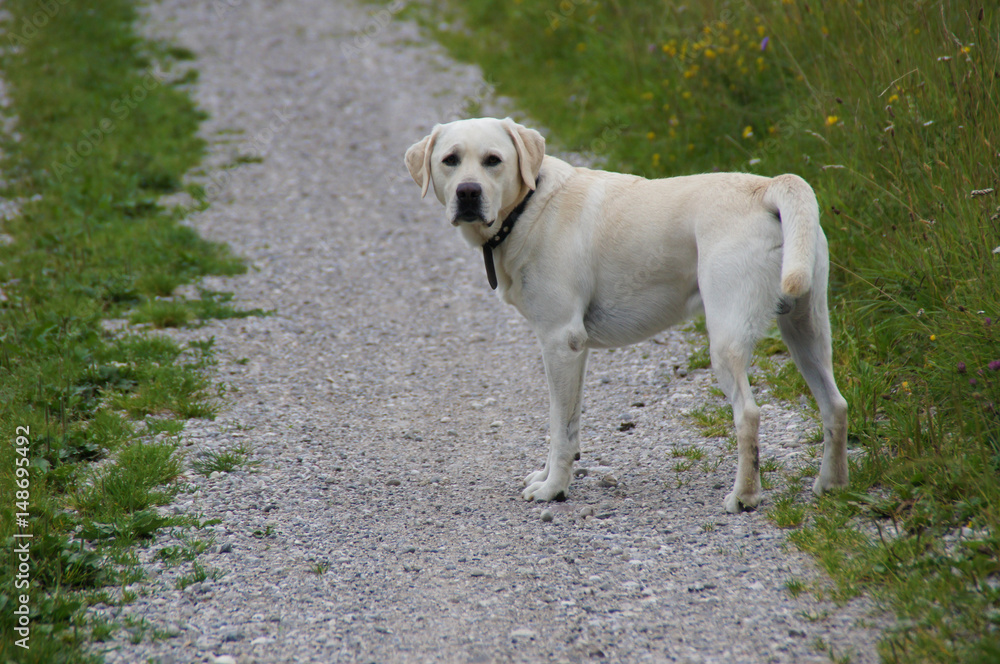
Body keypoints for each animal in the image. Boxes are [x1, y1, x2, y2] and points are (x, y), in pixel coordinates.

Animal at [402, 116, 848, 512]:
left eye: (493, 160)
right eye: (450, 160)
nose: (468, 192)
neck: (528, 206)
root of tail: (766, 187)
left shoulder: (559, 342)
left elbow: (558, 429)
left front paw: (553, 489)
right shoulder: (574, 351)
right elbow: (568, 425)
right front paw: (550, 476)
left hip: (726, 340)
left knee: (749, 416)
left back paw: (745, 497)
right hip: (807, 331)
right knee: (835, 405)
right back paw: (831, 484)